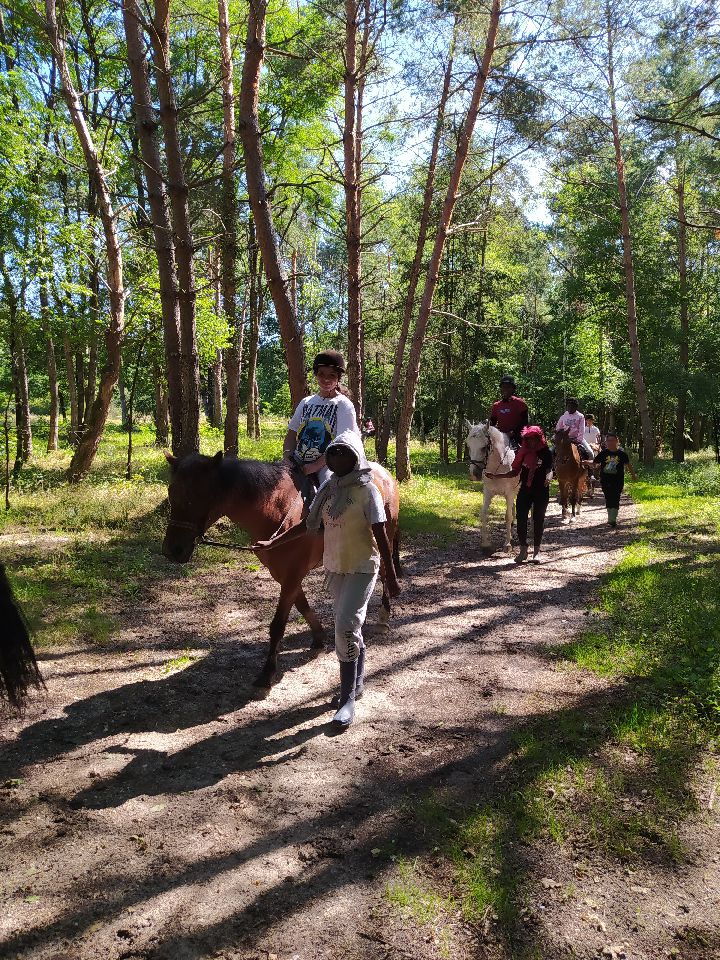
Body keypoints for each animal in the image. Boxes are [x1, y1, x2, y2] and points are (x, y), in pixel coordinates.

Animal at [160, 452, 402, 688]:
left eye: (201, 495)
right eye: (171, 492)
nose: (173, 550)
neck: (276, 510)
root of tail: (385, 474)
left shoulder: (293, 572)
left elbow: (278, 624)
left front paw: (268, 672)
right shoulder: (282, 573)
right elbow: (301, 605)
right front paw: (318, 636)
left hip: (383, 537)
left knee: (384, 573)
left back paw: (383, 616)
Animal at [466, 422, 516, 552]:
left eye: (484, 447)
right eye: (468, 446)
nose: (474, 474)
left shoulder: (509, 493)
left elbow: (507, 516)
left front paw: (507, 544)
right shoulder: (488, 492)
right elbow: (484, 514)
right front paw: (485, 543)